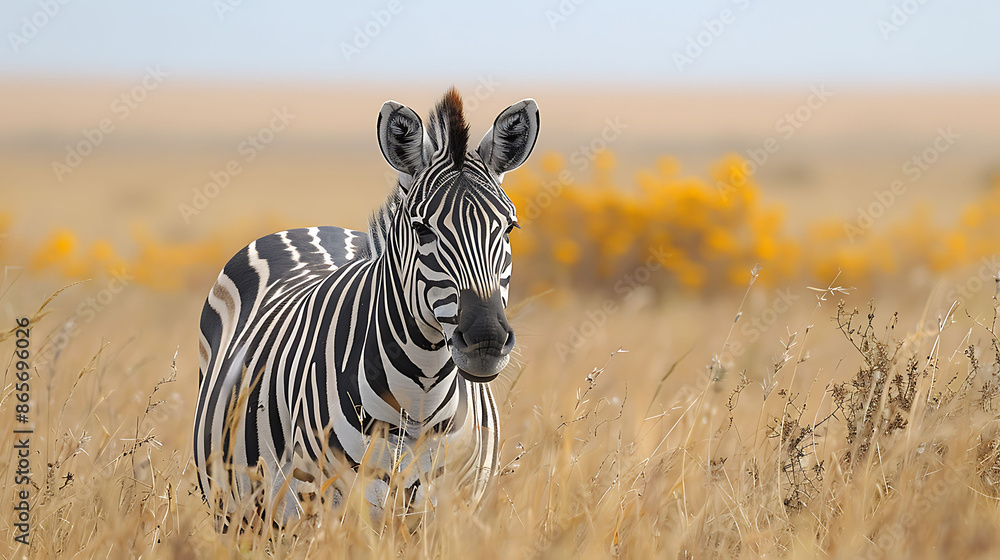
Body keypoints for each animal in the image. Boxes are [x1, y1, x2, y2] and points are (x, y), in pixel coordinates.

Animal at [193, 88, 539, 526]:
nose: (486, 340)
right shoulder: (331, 504)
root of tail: (314, 227)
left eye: (509, 228)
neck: (420, 397)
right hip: (241, 509)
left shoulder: (452, 509)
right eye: (421, 229)